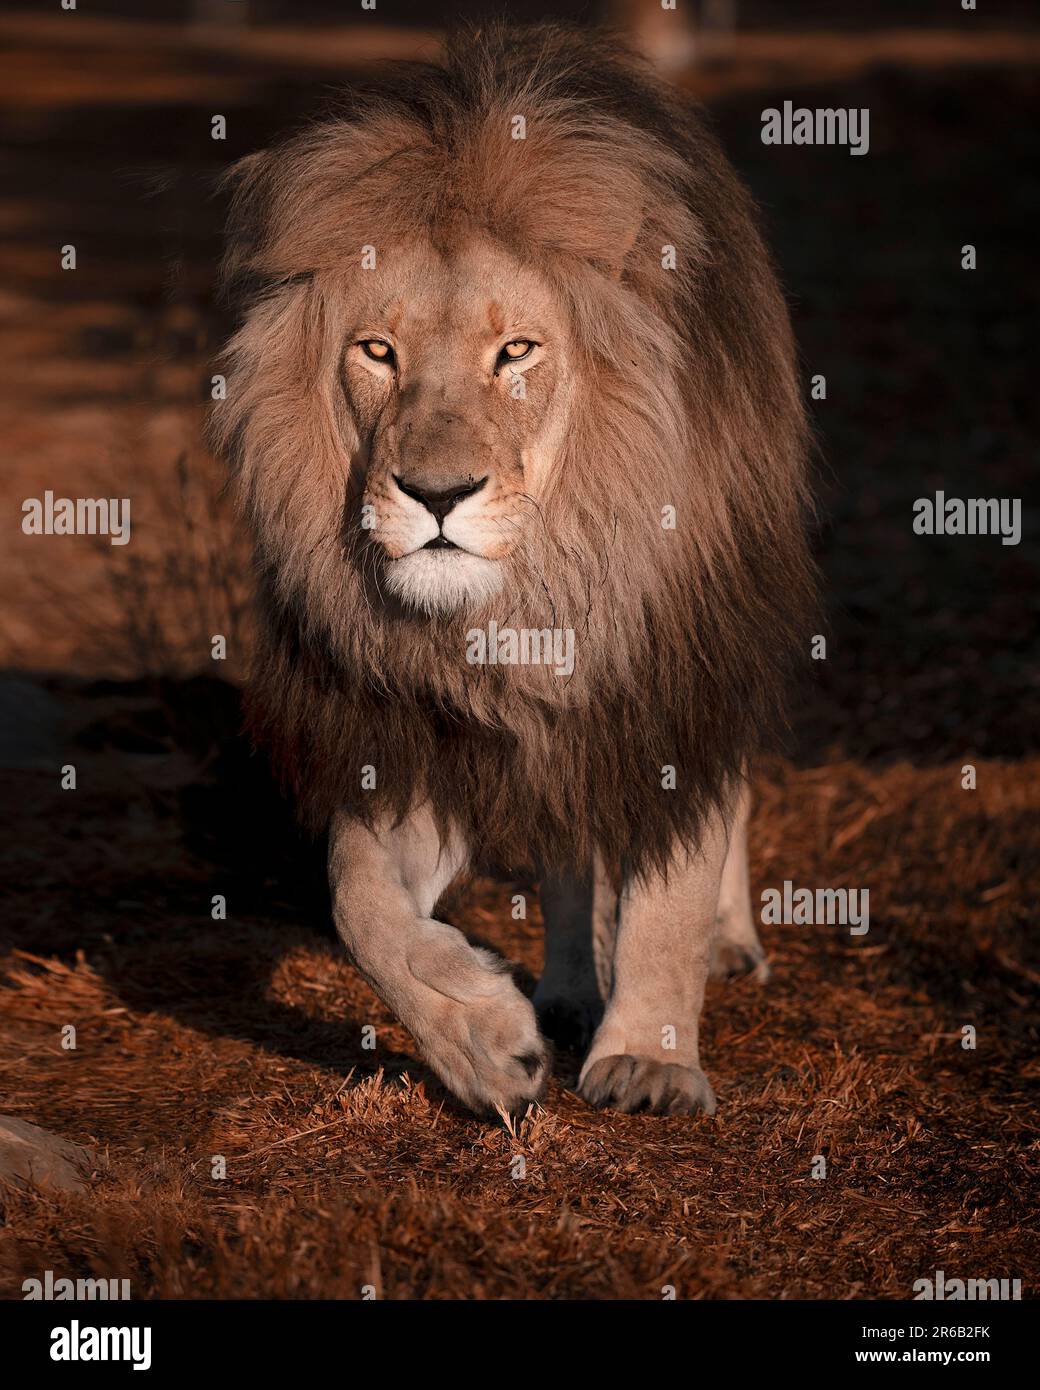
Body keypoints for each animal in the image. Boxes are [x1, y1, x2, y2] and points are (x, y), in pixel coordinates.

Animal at [211, 24, 815, 1118]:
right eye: (376, 350)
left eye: (517, 351)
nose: (436, 494)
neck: (526, 598)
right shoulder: (418, 723)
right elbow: (357, 896)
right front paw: (482, 1040)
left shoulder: (672, 676)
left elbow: (671, 884)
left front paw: (651, 1059)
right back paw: (565, 992)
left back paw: (724, 945)